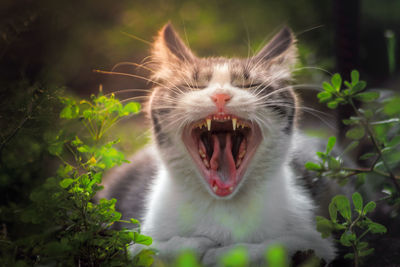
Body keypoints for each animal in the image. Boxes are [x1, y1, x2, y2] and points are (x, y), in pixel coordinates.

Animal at [97, 23, 344, 267]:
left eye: (249, 84)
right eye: (193, 85)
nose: (221, 96)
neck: (222, 205)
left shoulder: (319, 241)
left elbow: (275, 247)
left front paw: (220, 253)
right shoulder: (136, 238)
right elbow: (148, 248)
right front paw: (199, 245)